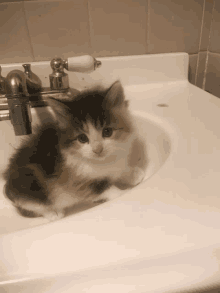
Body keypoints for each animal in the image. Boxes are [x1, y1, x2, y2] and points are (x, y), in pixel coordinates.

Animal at [2, 80, 147, 219]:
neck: (103, 161)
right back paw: (53, 213)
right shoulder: (77, 181)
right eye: (82, 138)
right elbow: (103, 189)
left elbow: (119, 170)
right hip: (29, 187)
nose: (98, 149)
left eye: (107, 131)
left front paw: (133, 174)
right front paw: (123, 192)